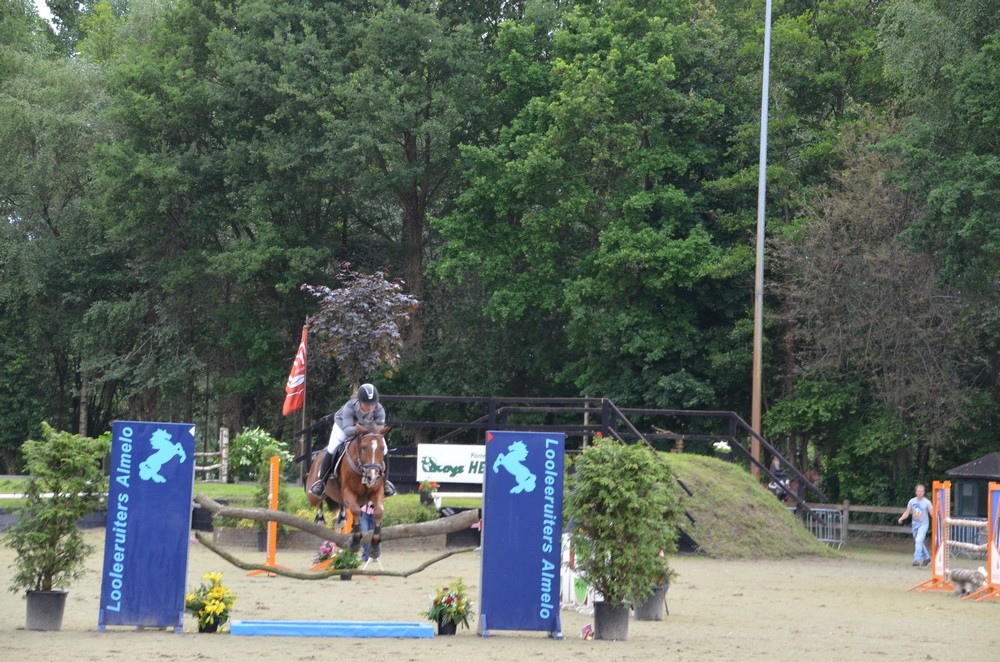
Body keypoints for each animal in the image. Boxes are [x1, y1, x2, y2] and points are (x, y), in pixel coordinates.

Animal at [305, 425, 390, 558]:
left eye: (382, 448)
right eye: (363, 447)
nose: (372, 477)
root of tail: (317, 455)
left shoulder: (377, 492)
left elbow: (378, 512)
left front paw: (375, 545)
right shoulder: (348, 492)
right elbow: (355, 510)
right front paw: (355, 542)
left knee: (340, 511)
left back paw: (340, 519)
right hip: (312, 495)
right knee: (318, 501)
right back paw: (320, 519)